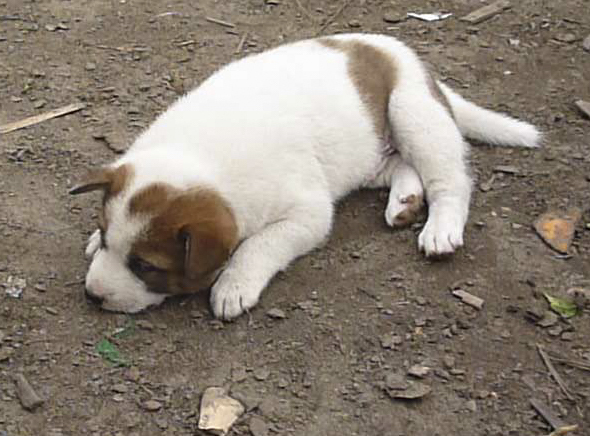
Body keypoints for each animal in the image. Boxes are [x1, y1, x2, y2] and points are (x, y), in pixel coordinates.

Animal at [70, 34, 541, 319]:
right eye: (109, 240)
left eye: (145, 266)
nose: (93, 295)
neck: (197, 153)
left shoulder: (307, 215)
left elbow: (257, 245)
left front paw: (234, 284)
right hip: (367, 152)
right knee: (400, 166)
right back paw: (405, 202)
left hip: (414, 112)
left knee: (450, 181)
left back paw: (440, 229)